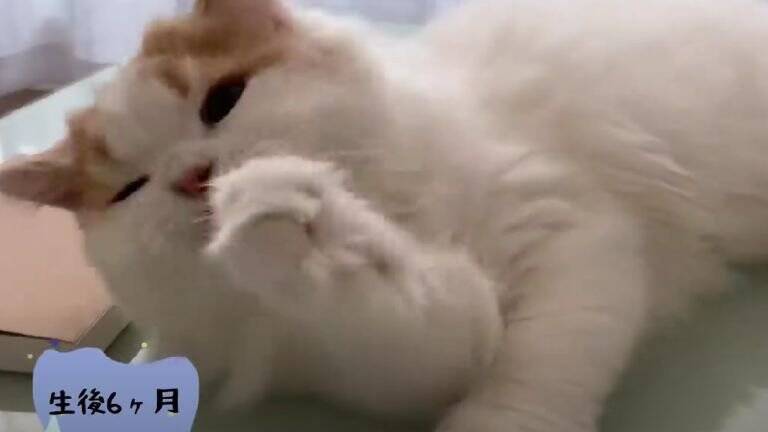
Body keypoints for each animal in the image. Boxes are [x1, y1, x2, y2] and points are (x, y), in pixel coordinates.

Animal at [3, 0, 768, 430]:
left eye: (222, 100)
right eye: (131, 190)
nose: (195, 178)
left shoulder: (566, 230)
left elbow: (527, 378)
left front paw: (276, 200)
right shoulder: (394, 357)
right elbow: (394, 301)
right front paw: (284, 227)